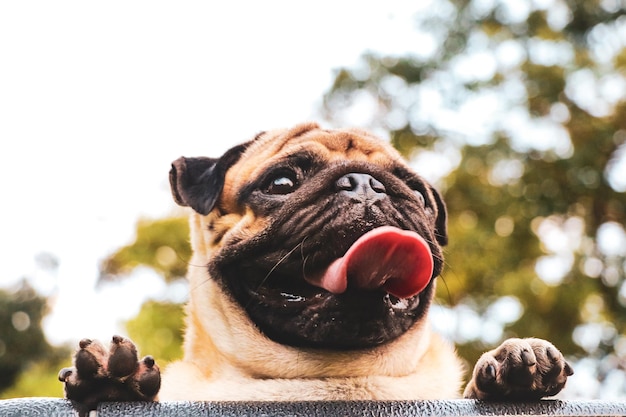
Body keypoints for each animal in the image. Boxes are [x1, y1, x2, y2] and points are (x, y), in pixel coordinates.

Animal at [57, 121, 572, 412]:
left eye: (417, 194)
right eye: (281, 183)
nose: (365, 184)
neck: (322, 380)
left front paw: (511, 366)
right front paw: (111, 378)